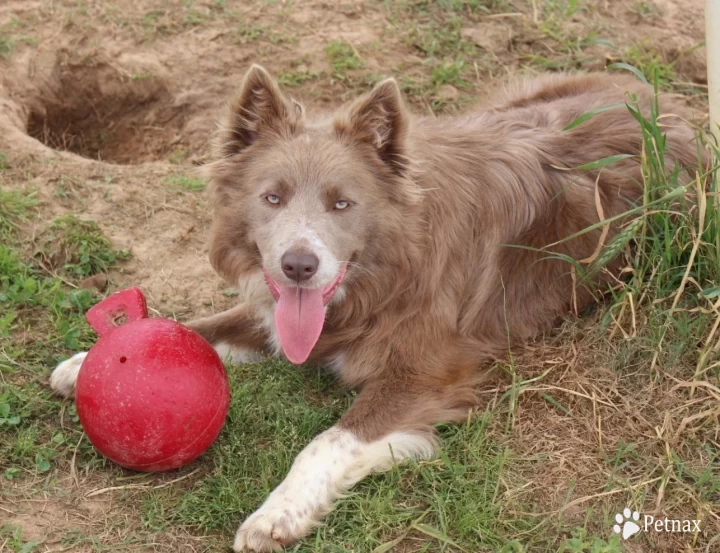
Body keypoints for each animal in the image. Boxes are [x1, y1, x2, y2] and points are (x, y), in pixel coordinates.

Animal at [52, 64, 704, 548]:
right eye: (272, 197)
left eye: (343, 203)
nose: (298, 266)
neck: (381, 275)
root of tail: (672, 102)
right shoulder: (288, 314)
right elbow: (201, 327)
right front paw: (92, 360)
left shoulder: (425, 371)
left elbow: (329, 440)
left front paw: (278, 513)